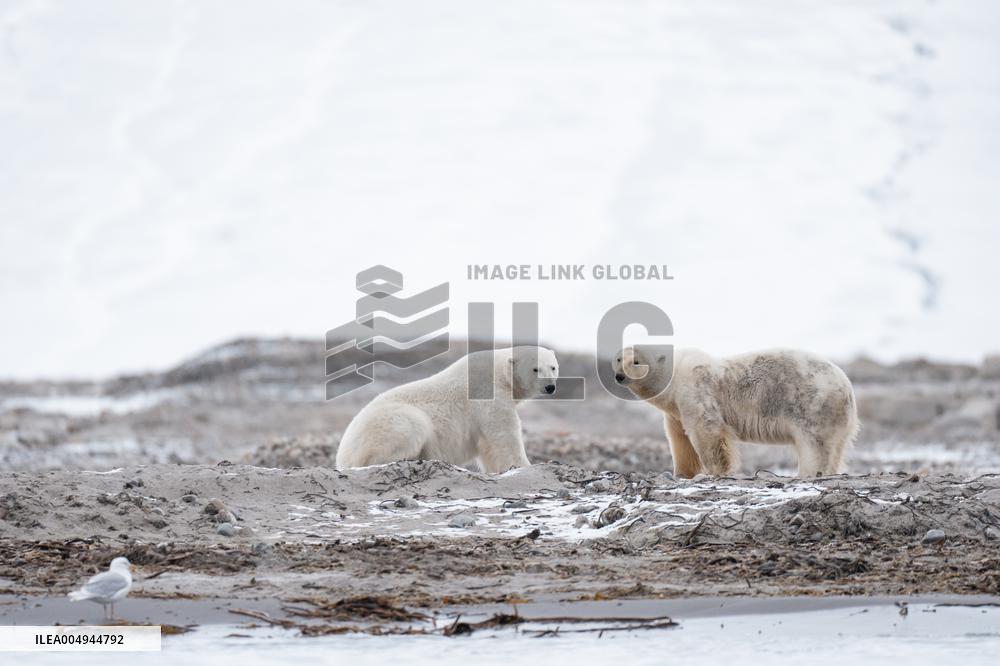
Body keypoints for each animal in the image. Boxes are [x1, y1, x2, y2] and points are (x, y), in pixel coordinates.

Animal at [335, 346, 559, 472]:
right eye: (535, 369)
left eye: (553, 367)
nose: (550, 387)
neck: (500, 374)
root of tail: (342, 457)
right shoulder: (489, 396)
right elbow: (504, 436)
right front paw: (529, 466)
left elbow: (488, 446)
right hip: (390, 423)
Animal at [612, 346, 859, 478]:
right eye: (618, 358)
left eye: (636, 361)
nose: (619, 376)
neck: (675, 374)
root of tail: (847, 389)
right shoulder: (675, 411)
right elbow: (680, 440)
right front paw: (682, 473)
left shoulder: (696, 390)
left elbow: (707, 431)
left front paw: (715, 472)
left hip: (814, 407)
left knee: (815, 448)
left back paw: (808, 473)